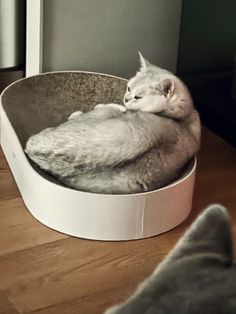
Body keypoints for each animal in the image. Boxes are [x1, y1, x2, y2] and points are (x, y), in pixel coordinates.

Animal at [24, 54, 200, 194]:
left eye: (138, 97)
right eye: (129, 88)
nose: (126, 99)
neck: (182, 118)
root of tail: (32, 148)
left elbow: (111, 107)